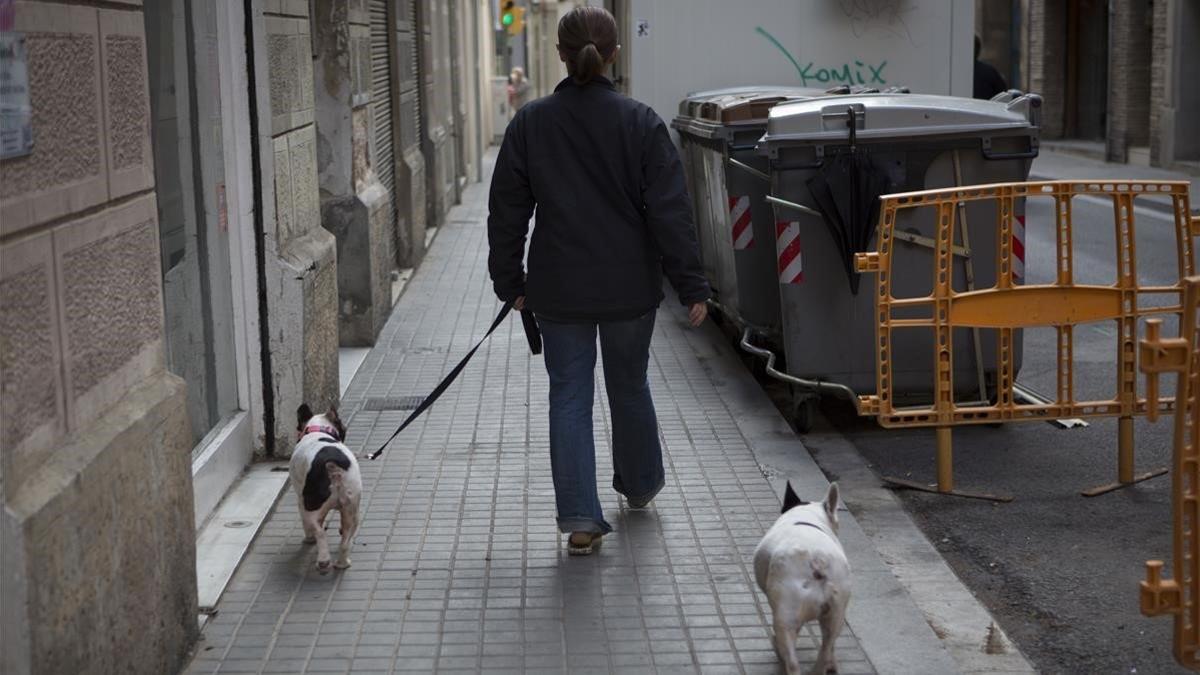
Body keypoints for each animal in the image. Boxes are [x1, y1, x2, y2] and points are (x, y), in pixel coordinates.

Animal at [290, 401, 360, 569]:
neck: (318, 429)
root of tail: (332, 465)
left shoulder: (300, 500)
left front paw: (309, 539)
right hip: (352, 507)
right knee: (346, 539)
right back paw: (342, 563)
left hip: (309, 504)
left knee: (319, 531)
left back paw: (323, 560)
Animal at [753, 480, 849, 667]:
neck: (806, 516)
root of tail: (817, 561)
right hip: (836, 614)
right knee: (827, 648)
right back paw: (828, 666)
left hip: (786, 613)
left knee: (792, 659)